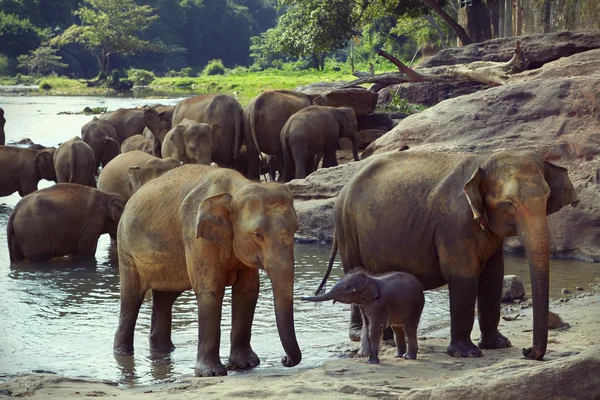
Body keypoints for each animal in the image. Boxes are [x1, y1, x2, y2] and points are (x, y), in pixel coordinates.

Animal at [113, 162, 300, 376]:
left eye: (296, 230)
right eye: (258, 234)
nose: (285, 359)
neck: (235, 188)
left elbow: (248, 290)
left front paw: (246, 364)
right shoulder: (195, 234)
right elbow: (211, 289)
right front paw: (211, 373)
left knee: (165, 298)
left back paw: (163, 350)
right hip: (126, 249)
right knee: (131, 298)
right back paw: (123, 353)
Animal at [316, 150, 580, 362]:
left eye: (546, 200)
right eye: (508, 204)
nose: (527, 351)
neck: (482, 161)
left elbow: (493, 277)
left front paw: (499, 344)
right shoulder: (454, 224)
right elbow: (463, 275)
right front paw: (468, 353)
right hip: (347, 227)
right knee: (353, 270)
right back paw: (362, 336)